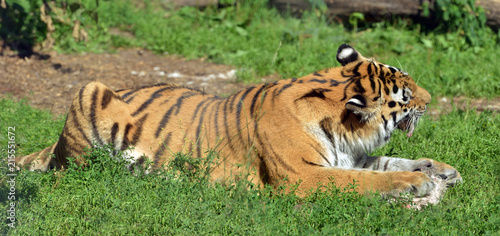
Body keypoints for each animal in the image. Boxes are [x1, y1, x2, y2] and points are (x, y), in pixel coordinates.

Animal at [14, 44, 460, 197]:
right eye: (406, 98)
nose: (431, 100)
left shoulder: (349, 156)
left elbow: (391, 161)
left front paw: (443, 170)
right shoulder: (304, 175)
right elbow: (370, 178)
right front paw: (415, 183)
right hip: (89, 90)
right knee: (74, 172)